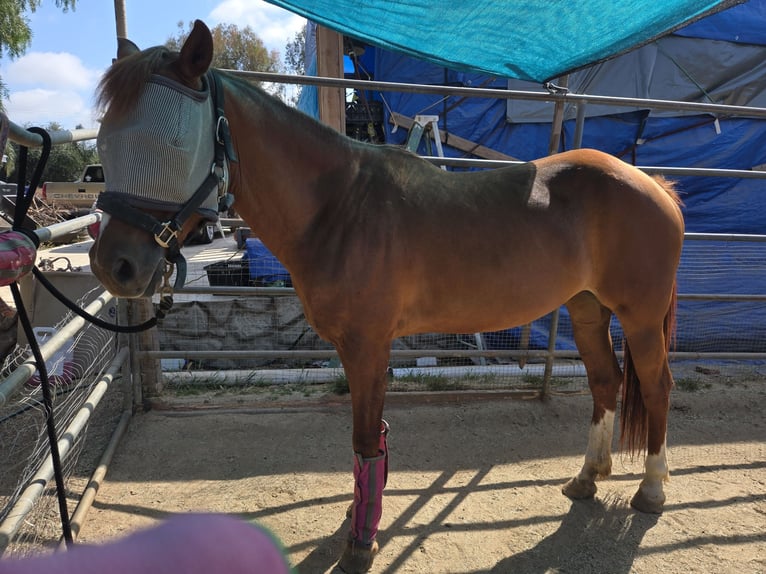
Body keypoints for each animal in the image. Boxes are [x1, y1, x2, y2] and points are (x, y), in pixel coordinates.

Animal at [88, 20, 684, 573]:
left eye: (170, 143)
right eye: (105, 140)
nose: (113, 266)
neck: (340, 207)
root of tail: (653, 185)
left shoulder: (368, 346)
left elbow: (364, 440)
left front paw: (360, 542)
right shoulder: (359, 351)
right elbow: (370, 437)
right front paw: (358, 519)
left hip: (639, 317)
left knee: (656, 387)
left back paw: (652, 491)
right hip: (588, 311)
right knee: (605, 381)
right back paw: (587, 478)